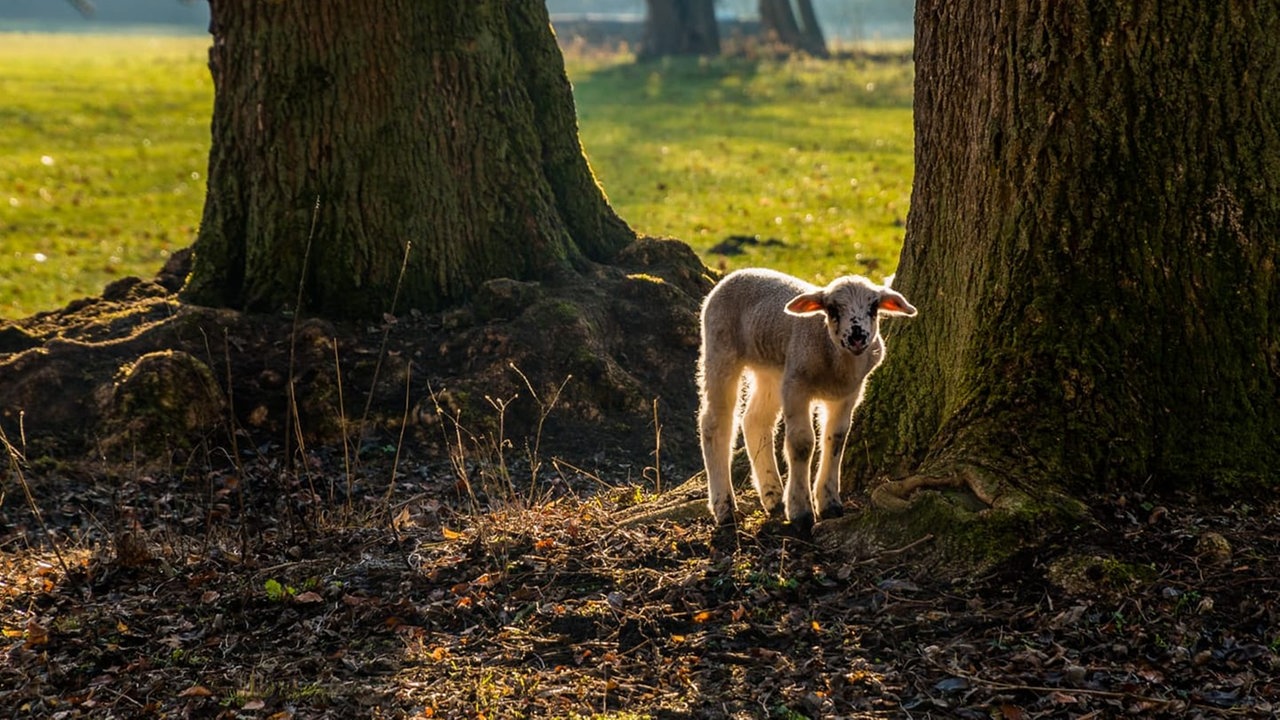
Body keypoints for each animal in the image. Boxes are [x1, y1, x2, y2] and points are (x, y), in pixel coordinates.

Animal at [696, 266, 916, 530]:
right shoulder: (796, 386)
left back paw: (772, 494)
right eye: (832, 308)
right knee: (715, 423)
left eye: (873, 307)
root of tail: (737, 273)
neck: (836, 362)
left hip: (771, 369)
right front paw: (800, 511)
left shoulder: (848, 393)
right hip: (720, 349)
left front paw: (829, 503)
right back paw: (725, 508)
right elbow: (802, 443)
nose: (857, 337)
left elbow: (836, 439)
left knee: (755, 420)